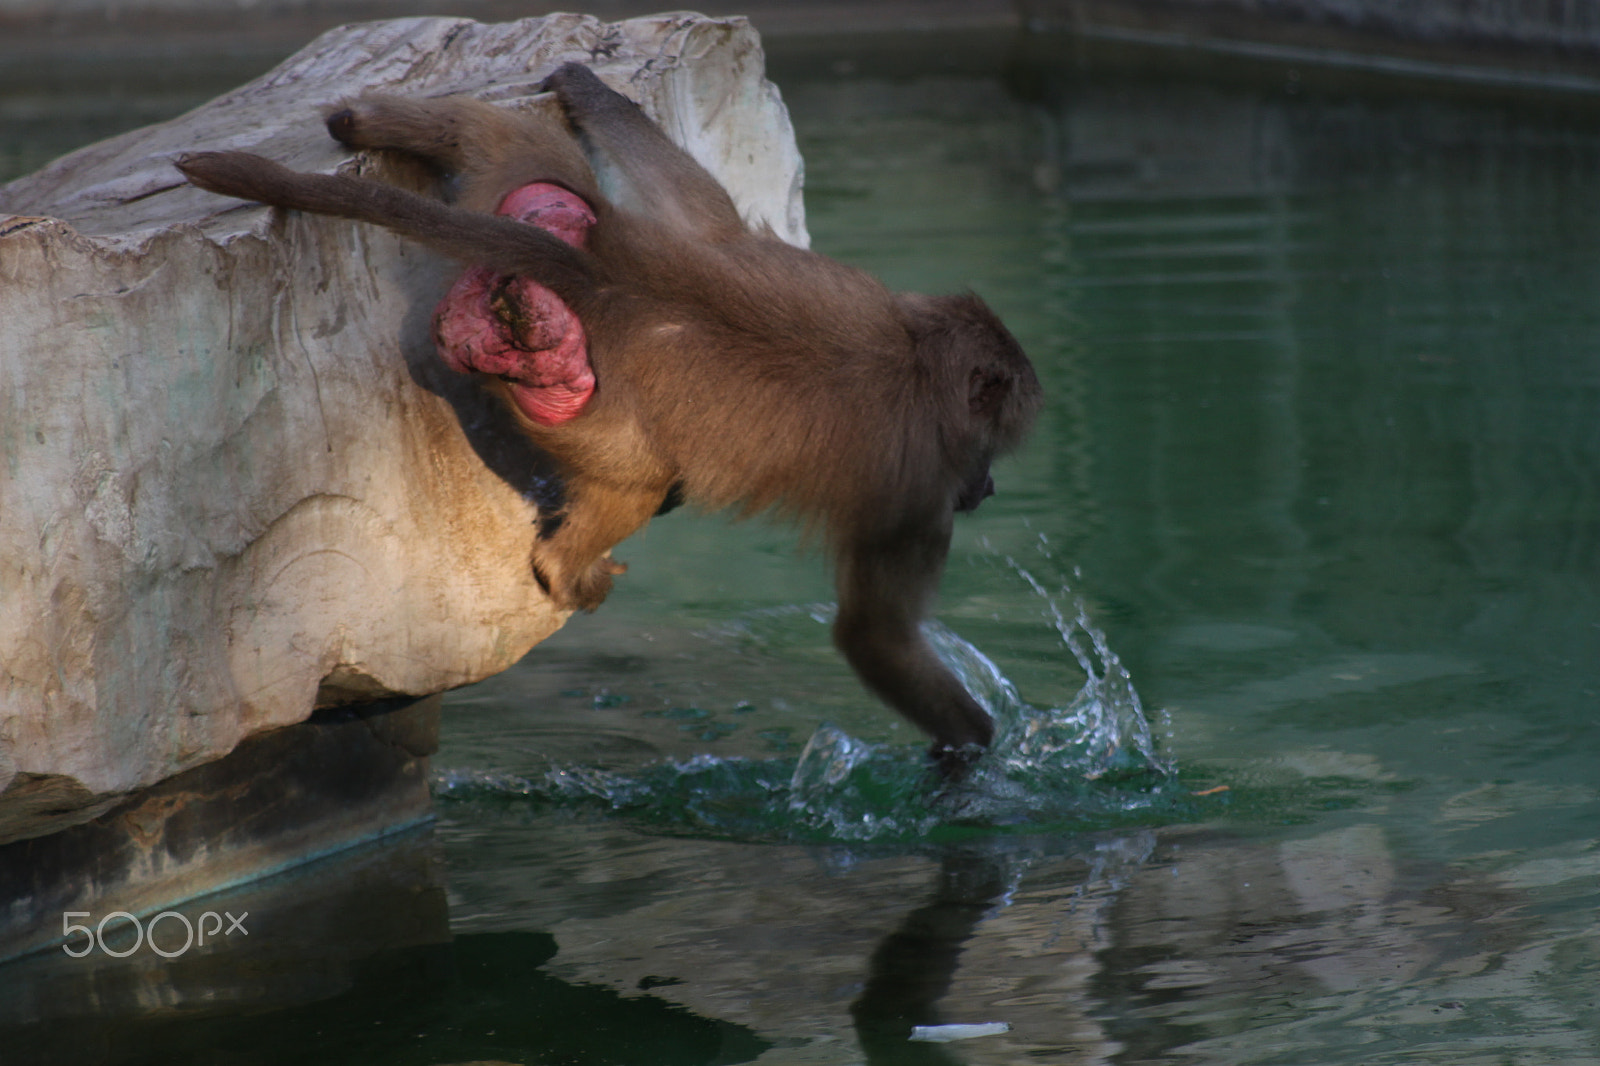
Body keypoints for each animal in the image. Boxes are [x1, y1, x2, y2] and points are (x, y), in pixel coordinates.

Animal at [178, 64, 1049, 765]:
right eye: (988, 454)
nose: (988, 490)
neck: (915, 359)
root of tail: (605, 280)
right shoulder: (916, 497)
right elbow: (874, 638)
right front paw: (975, 747)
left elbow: (705, 216)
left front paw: (587, 88)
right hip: (584, 411)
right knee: (641, 483)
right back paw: (570, 567)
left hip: (544, 213)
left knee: (523, 150)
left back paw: (379, 124)